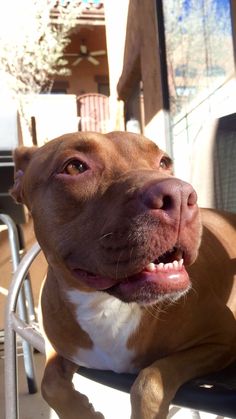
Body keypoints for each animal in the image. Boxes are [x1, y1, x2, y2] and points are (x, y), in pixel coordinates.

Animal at [11, 130, 236, 418]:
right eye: (74, 167)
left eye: (164, 162)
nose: (180, 195)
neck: (106, 304)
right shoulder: (57, 347)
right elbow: (49, 383)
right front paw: (83, 412)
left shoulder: (221, 339)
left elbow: (150, 380)